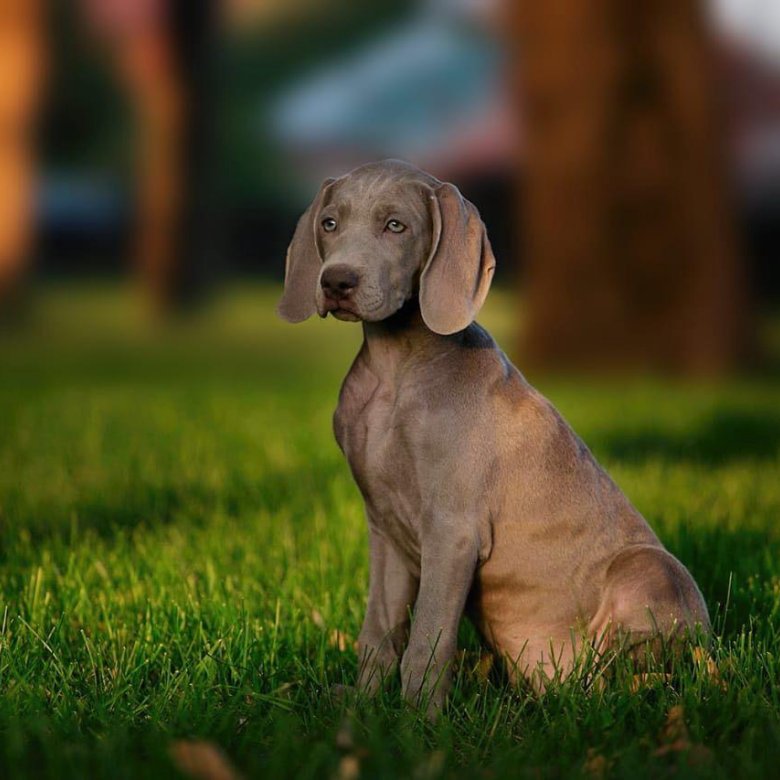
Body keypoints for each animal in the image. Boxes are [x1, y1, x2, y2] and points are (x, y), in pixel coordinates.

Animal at [278, 158, 708, 712]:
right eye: (329, 224)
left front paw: (417, 720)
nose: (336, 281)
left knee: (621, 672)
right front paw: (363, 705)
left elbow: (427, 640)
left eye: (396, 226)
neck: (398, 367)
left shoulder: (453, 529)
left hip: (649, 571)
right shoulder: (385, 528)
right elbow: (379, 631)